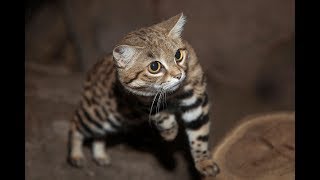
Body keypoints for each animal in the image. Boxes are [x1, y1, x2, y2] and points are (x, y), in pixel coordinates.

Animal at [68, 13, 220, 177]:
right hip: (99, 115)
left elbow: (199, 134)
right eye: (154, 66)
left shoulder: (196, 100)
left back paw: (100, 155)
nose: (179, 75)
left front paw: (205, 163)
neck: (172, 95)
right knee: (76, 123)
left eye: (178, 55)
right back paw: (76, 156)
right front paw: (170, 133)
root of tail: (91, 72)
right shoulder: (143, 101)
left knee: (98, 135)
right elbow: (161, 116)